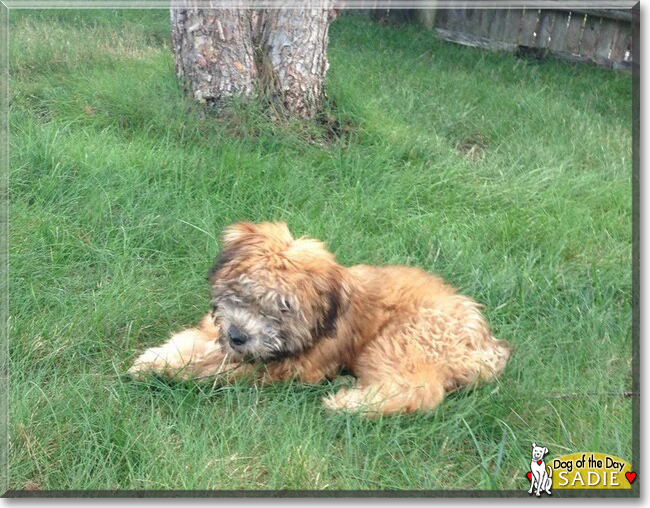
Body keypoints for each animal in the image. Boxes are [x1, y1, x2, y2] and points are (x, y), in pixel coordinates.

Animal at [128, 220, 512, 414]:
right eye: (242, 292)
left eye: (281, 308)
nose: (238, 336)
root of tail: (487, 348)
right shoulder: (214, 329)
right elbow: (192, 342)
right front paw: (157, 360)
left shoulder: (291, 367)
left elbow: (220, 367)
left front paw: (171, 370)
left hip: (402, 340)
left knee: (419, 390)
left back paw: (350, 403)